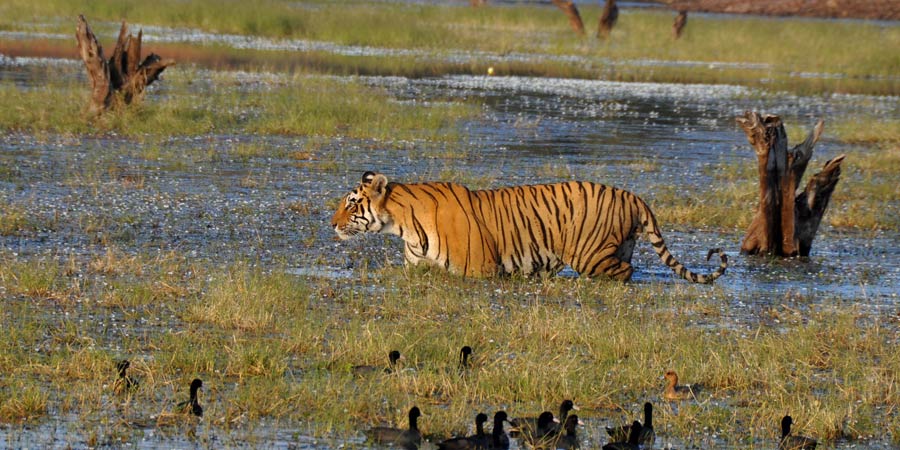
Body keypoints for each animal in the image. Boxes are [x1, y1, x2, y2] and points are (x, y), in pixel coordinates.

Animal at [328, 171, 724, 284]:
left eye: (351, 202)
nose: (331, 223)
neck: (400, 224)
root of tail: (633, 196)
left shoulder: (480, 269)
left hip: (589, 255)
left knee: (624, 273)